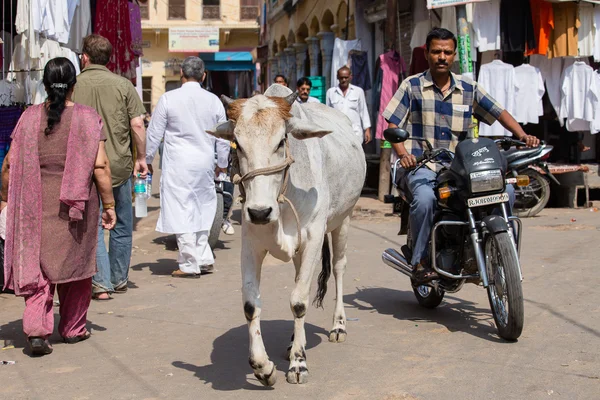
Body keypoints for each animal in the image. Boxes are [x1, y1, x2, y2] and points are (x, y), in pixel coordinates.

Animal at [206, 83, 366, 384]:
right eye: (237, 144)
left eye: (281, 141)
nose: (259, 212)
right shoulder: (251, 243)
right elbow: (251, 305)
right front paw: (263, 368)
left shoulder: (314, 238)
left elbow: (299, 301)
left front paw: (298, 363)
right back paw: (293, 341)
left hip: (344, 220)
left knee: (339, 268)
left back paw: (338, 325)